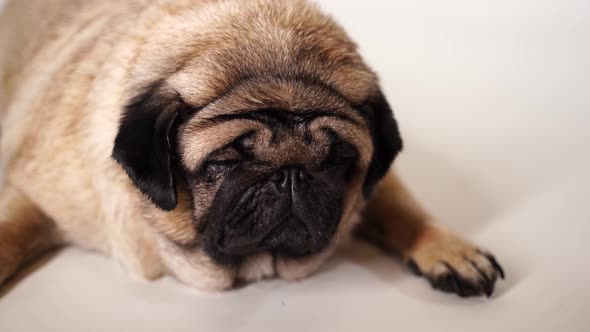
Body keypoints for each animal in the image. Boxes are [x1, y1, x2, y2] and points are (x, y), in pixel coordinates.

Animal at [0, 0, 506, 296]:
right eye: (224, 163)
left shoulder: (376, 184)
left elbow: (403, 206)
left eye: (337, 160)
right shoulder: (35, 192)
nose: (291, 174)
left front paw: (449, 248)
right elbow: (10, 232)